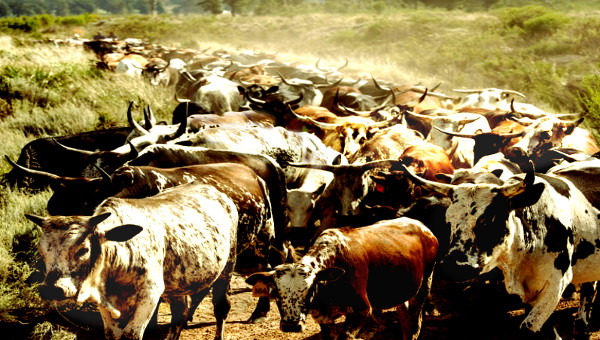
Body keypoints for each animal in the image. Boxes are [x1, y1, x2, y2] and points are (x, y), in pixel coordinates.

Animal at [25, 182, 238, 340]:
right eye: (42, 252)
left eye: (83, 250)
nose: (52, 289)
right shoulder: (104, 305)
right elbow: (112, 334)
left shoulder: (150, 295)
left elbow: (131, 335)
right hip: (176, 285)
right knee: (180, 314)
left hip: (227, 267)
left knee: (221, 308)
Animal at [246, 218, 438, 340]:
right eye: (276, 292)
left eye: (310, 289)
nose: (291, 326)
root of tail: (424, 228)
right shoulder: (323, 318)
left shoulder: (361, 310)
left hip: (423, 287)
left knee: (413, 327)